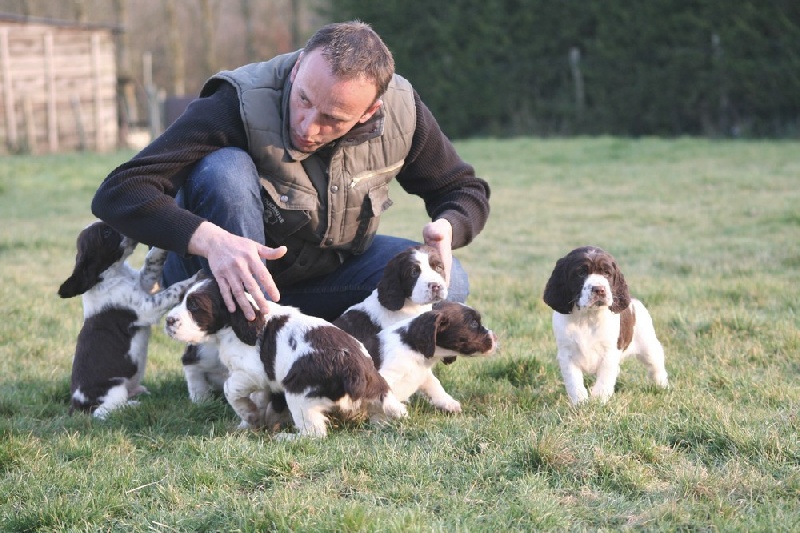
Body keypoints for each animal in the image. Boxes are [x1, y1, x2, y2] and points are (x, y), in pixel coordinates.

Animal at [58, 221, 198, 420]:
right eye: (106, 232)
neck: (115, 273)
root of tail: (76, 404)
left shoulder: (146, 284)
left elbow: (150, 261)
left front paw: (160, 246)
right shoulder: (147, 308)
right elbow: (172, 290)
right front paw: (192, 281)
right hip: (114, 391)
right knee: (104, 411)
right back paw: (133, 406)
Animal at [165, 276, 410, 438]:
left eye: (194, 306)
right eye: (180, 299)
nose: (168, 321)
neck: (237, 325)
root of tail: (361, 372)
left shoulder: (252, 372)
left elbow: (230, 388)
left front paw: (249, 415)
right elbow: (259, 399)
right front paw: (250, 423)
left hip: (299, 392)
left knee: (315, 434)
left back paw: (287, 438)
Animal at [544, 245, 668, 404]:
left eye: (607, 273)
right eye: (581, 273)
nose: (599, 289)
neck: (588, 318)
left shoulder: (609, 353)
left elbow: (604, 380)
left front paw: (598, 401)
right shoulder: (567, 354)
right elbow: (574, 382)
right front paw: (580, 403)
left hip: (648, 346)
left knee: (656, 366)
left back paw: (662, 386)